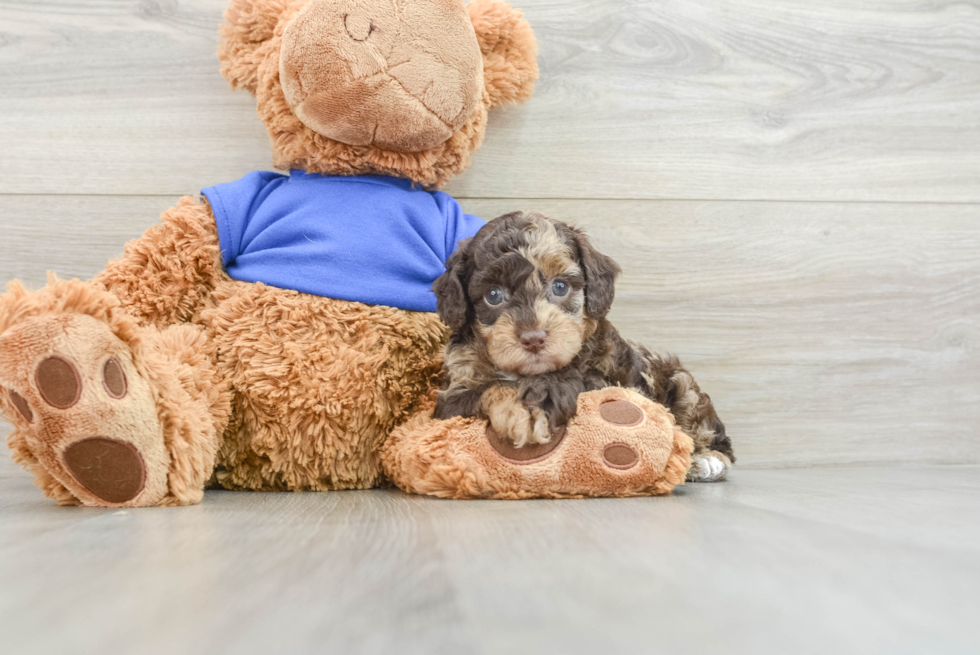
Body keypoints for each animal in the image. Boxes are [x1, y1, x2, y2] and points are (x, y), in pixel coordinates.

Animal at [430, 210, 736, 482]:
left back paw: (707, 460)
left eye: (560, 287)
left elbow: (575, 376)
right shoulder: (450, 400)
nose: (533, 338)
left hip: (682, 385)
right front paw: (522, 405)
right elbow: (493, 387)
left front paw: (539, 398)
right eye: (493, 295)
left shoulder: (612, 379)